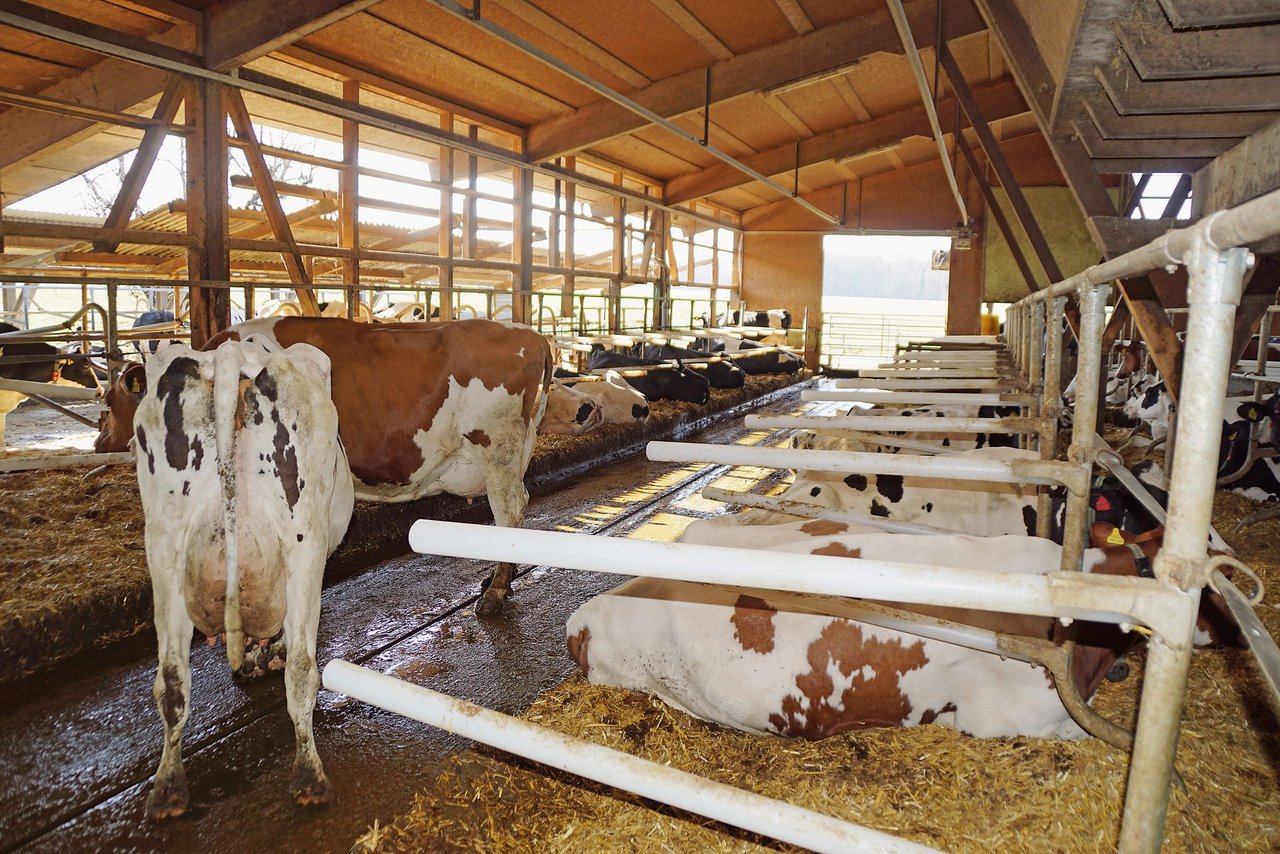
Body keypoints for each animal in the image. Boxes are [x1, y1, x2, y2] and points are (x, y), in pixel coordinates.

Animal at [92, 317, 552, 612]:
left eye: (109, 403)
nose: (99, 443)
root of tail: (532, 335)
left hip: (498, 449)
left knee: (510, 511)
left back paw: (495, 593)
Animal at [137, 338, 355, 819]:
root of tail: (227, 356)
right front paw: (265, 655)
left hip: (164, 548)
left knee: (172, 679)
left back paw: (168, 790)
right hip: (303, 543)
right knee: (302, 670)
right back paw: (309, 778)